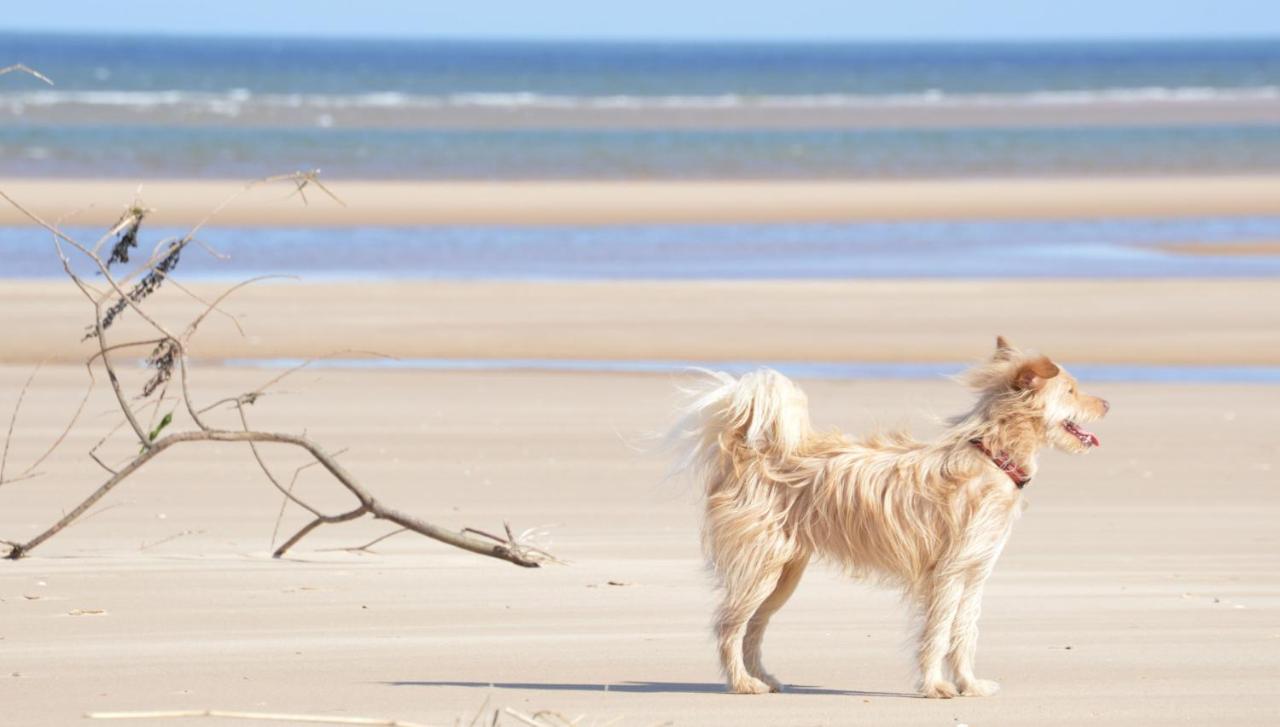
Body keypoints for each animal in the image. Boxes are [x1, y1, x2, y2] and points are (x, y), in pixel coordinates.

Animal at [675, 337, 1105, 696]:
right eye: (1071, 390)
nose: (1108, 404)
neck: (993, 457)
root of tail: (750, 453)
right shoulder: (948, 573)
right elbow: (938, 633)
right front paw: (935, 687)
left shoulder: (974, 574)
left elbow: (965, 633)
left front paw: (969, 685)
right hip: (760, 570)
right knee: (729, 625)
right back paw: (742, 683)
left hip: (782, 575)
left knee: (753, 627)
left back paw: (762, 677)